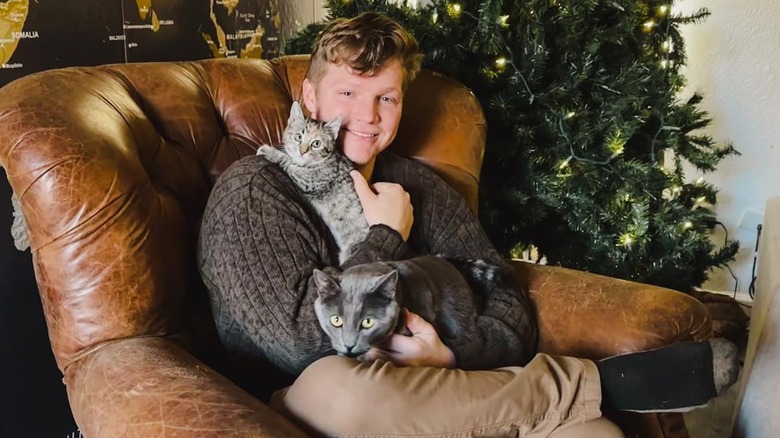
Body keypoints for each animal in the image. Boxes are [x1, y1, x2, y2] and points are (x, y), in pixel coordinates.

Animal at [254, 102, 368, 264]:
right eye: (298, 137)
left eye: (316, 143)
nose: (302, 152)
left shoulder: (308, 180)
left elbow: (286, 160)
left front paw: (269, 151)